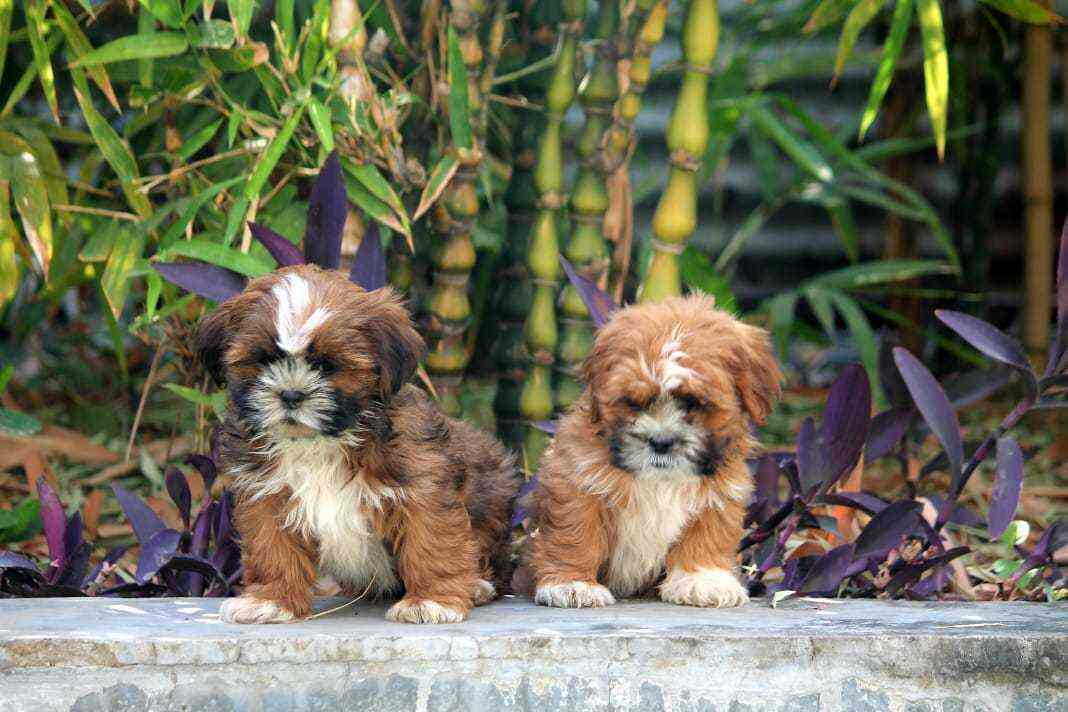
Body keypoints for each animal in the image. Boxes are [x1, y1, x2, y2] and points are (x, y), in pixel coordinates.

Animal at [201, 265, 519, 624]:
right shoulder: (266, 494)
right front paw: (271, 600)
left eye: (327, 364)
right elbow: (272, 546)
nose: (291, 394)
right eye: (265, 359)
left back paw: (477, 584)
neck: (319, 443)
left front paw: (431, 601)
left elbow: (430, 540)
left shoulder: (422, 482)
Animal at [526, 294, 781, 608]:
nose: (661, 441)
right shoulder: (576, 477)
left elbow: (708, 532)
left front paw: (702, 579)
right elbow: (575, 531)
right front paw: (572, 584)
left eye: (693, 403)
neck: (661, 479)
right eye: (633, 403)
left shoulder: (721, 489)